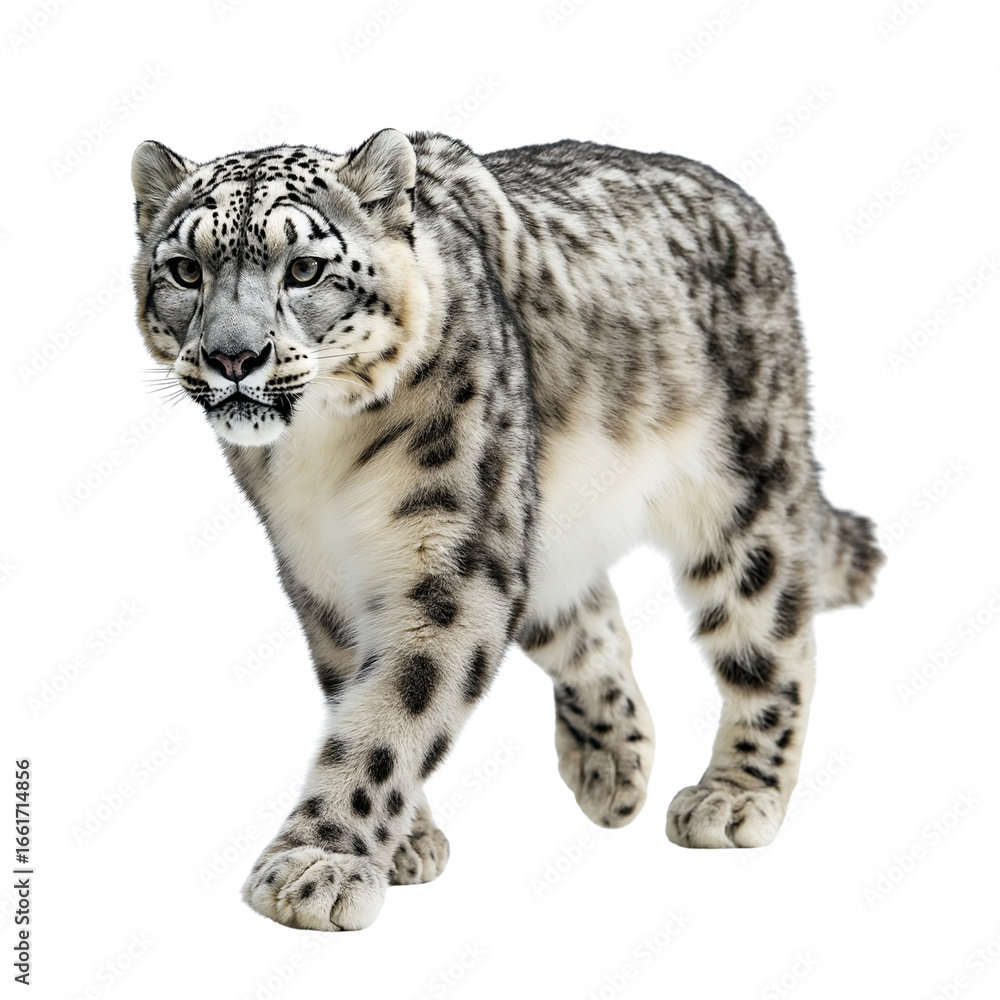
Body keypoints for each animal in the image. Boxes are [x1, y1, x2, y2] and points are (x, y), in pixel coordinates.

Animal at [130, 128, 883, 931]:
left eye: (304, 268)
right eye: (184, 269)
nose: (232, 357)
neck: (316, 456)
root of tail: (749, 211)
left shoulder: (452, 563)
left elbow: (394, 711)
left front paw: (318, 864)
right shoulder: (321, 575)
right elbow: (356, 692)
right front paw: (405, 845)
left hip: (740, 494)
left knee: (770, 636)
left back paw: (735, 794)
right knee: (592, 623)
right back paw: (611, 767)